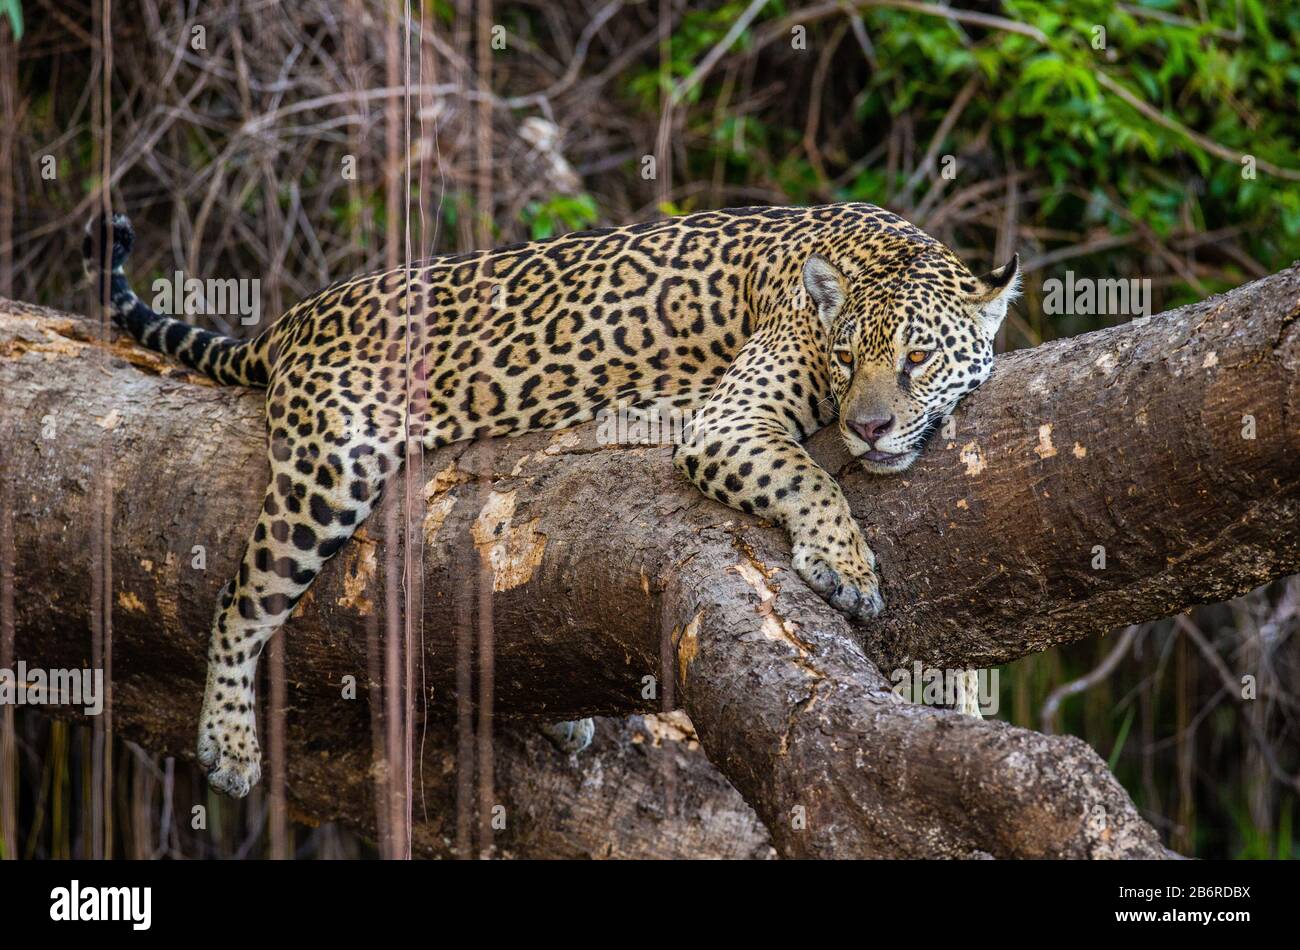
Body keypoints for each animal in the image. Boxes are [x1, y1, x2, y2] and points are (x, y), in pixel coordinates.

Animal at [83, 202, 1018, 798]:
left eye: (918, 358)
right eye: (847, 355)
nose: (869, 427)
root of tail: (295, 317)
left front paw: (960, 696)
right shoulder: (727, 423)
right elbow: (809, 475)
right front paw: (845, 562)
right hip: (331, 467)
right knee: (239, 599)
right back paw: (229, 742)